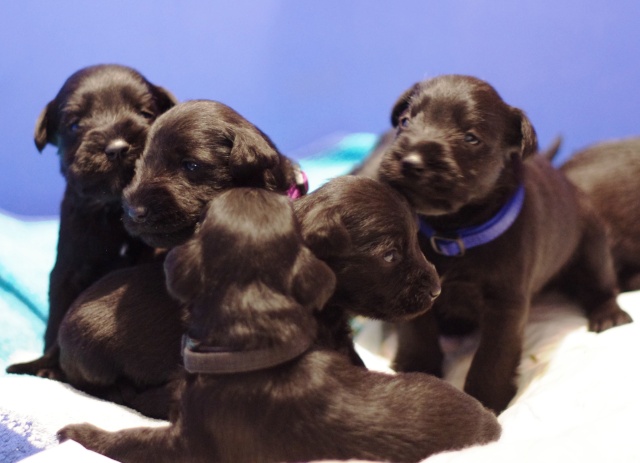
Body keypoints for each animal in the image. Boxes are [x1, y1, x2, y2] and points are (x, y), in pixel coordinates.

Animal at [7, 64, 178, 376]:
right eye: (75, 125)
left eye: (145, 113)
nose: (118, 147)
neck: (112, 209)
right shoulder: (67, 271)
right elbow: (57, 320)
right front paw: (45, 365)